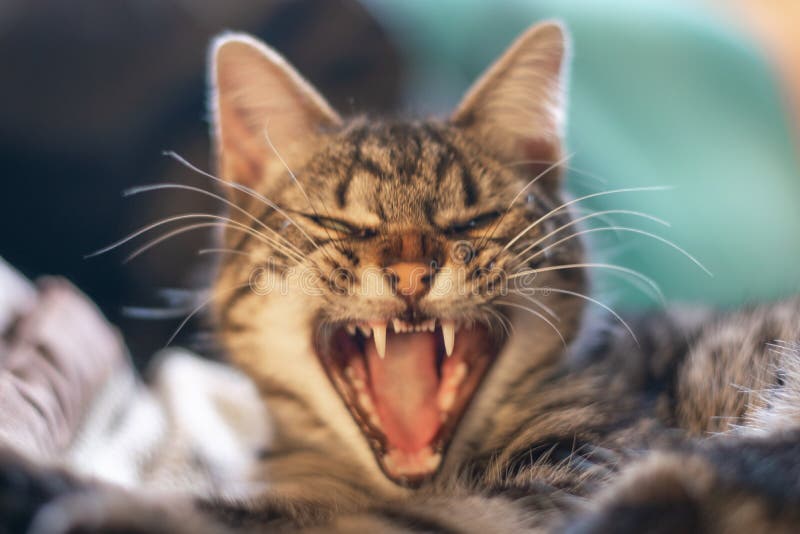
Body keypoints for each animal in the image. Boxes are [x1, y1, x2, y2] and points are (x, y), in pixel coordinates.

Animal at [4, 19, 800, 534]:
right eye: (342, 224)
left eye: (472, 220)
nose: (413, 271)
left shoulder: (566, 482)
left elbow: (246, 516)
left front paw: (64, 492)